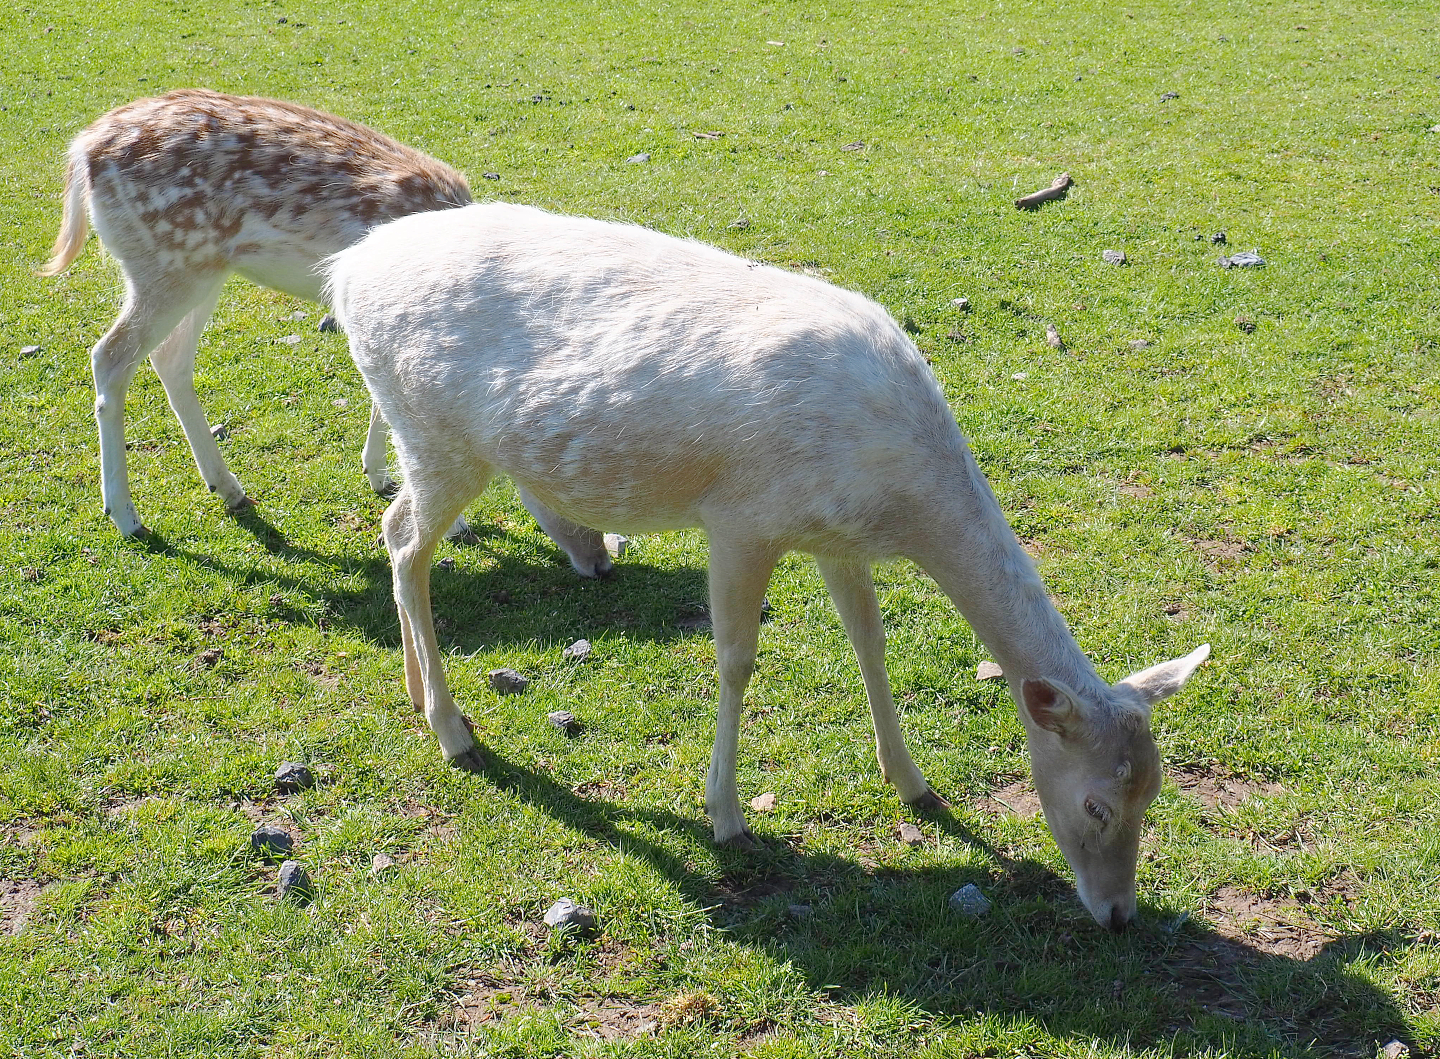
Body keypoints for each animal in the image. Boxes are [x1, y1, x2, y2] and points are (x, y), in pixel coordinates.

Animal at [40, 89, 610, 577]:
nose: (602, 563)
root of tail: (82, 149)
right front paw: (452, 523)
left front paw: (379, 475)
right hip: (165, 265)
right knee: (110, 355)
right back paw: (126, 515)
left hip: (201, 270)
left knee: (169, 359)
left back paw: (228, 488)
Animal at [323, 201, 1211, 932]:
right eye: (1096, 804)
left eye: (1156, 787)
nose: (1119, 914)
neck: (901, 500)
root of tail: (346, 268)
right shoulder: (742, 520)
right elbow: (736, 659)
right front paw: (726, 815)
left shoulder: (834, 539)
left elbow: (870, 642)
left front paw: (913, 780)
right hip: (437, 436)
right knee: (403, 539)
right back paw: (452, 731)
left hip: (423, 436)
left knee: (397, 533)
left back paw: (418, 693)